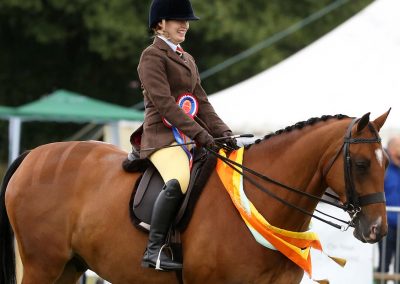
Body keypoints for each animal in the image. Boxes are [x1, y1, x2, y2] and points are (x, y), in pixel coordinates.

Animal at [0, 111, 388, 284]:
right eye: (361, 163)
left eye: (386, 162)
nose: (378, 230)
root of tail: (32, 155)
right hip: (42, 264)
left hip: (69, 265)